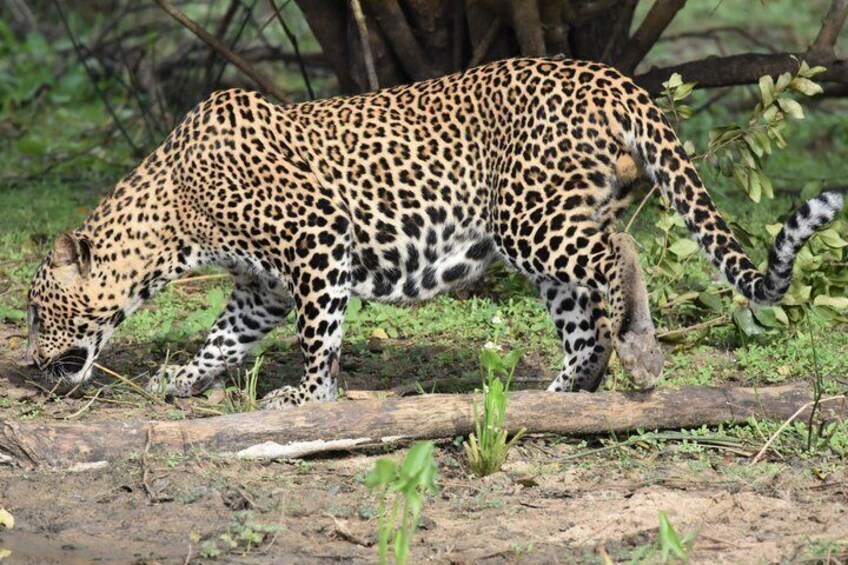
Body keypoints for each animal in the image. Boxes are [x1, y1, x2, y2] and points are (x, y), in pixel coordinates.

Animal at [25, 57, 843, 408]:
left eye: (36, 312)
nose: (30, 364)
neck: (173, 214)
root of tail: (611, 76)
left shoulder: (319, 238)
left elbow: (318, 335)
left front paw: (307, 395)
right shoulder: (261, 286)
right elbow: (224, 339)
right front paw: (178, 379)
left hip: (530, 218)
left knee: (610, 269)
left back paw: (623, 362)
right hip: (558, 216)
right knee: (616, 262)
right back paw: (569, 388)